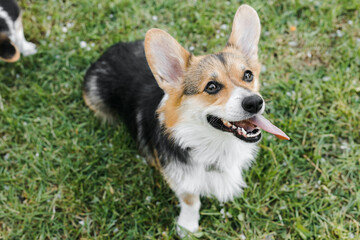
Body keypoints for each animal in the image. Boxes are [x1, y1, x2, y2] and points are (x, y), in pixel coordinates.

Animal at [82, 3, 290, 235]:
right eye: (211, 86)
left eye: (248, 75)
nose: (255, 102)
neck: (214, 144)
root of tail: (108, 52)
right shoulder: (181, 180)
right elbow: (191, 200)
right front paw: (188, 226)